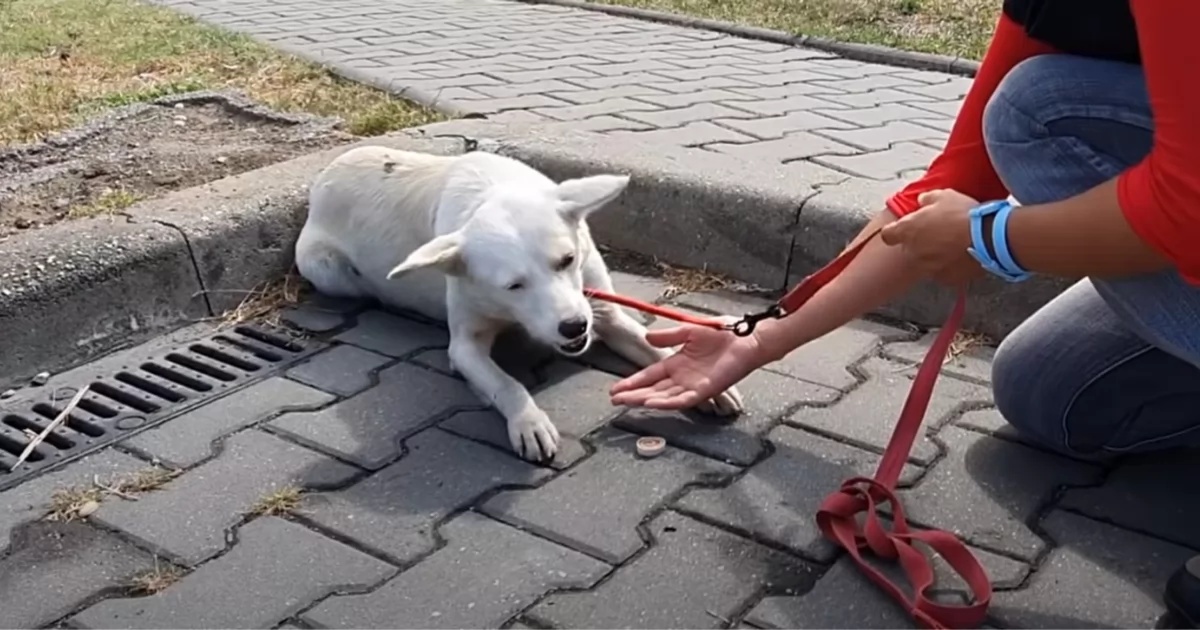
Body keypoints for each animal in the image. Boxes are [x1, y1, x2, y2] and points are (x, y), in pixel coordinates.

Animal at [292, 146, 739, 460]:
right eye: (513, 286)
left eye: (567, 260)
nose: (574, 327)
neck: (495, 191)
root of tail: (328, 170)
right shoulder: (465, 345)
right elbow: (506, 384)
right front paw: (529, 420)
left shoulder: (604, 310)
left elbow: (654, 345)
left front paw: (703, 379)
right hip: (324, 268)